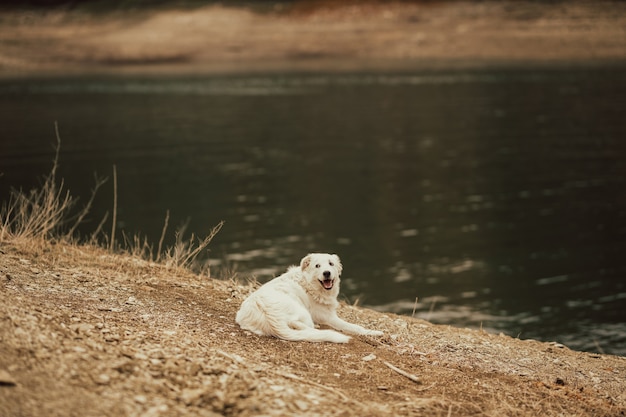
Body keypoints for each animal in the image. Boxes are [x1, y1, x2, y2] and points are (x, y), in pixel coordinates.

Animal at [234, 252, 380, 342]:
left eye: (331, 264)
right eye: (317, 266)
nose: (326, 273)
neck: (309, 284)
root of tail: (270, 316)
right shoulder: (329, 317)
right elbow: (355, 327)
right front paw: (373, 332)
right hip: (303, 312)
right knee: (298, 324)